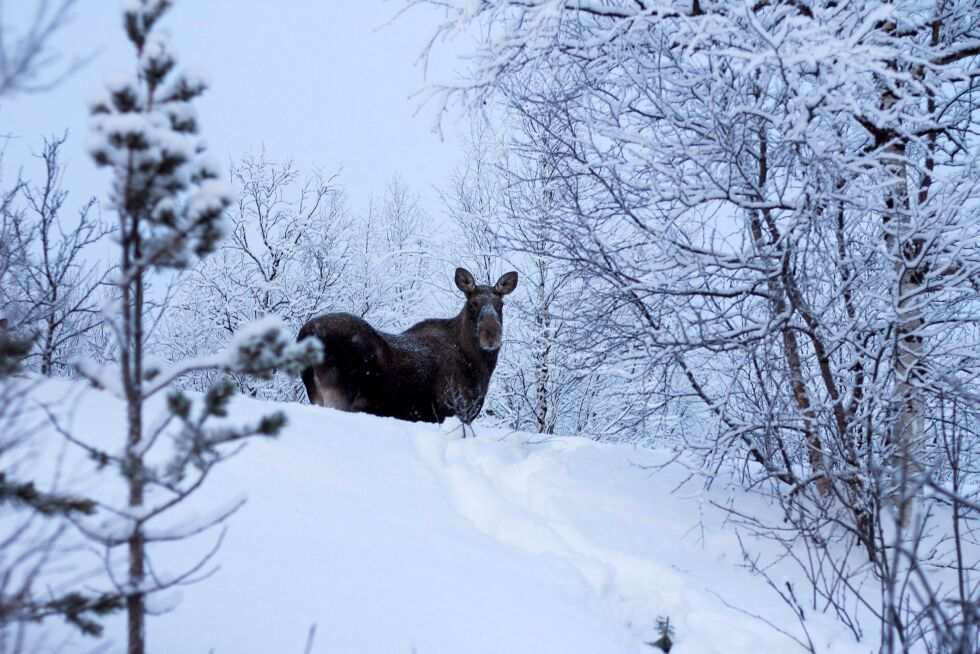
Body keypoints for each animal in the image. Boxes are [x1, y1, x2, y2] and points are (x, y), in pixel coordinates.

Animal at [296, 268, 516, 426]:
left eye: (500, 304)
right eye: (473, 303)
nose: (491, 334)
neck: (480, 366)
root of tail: (307, 332)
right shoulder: (452, 412)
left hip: (316, 394)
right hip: (338, 393)